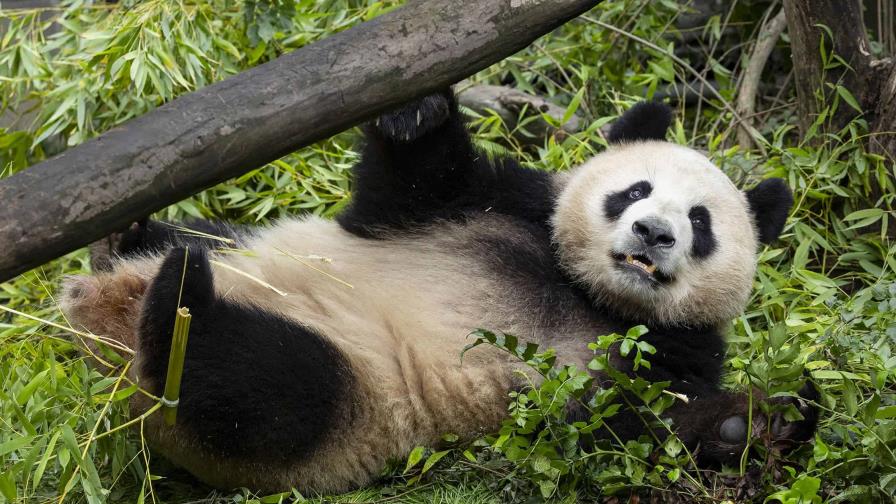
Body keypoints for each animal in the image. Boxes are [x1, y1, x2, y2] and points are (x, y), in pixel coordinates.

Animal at [59, 88, 816, 494]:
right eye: (635, 190)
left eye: (701, 223)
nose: (654, 232)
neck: (588, 292)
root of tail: (106, 323)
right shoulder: (498, 204)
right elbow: (407, 187)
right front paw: (418, 110)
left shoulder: (666, 351)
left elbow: (618, 428)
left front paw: (754, 423)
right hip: (241, 250)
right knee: (199, 249)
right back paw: (129, 242)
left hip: (353, 402)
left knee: (261, 386)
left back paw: (176, 311)